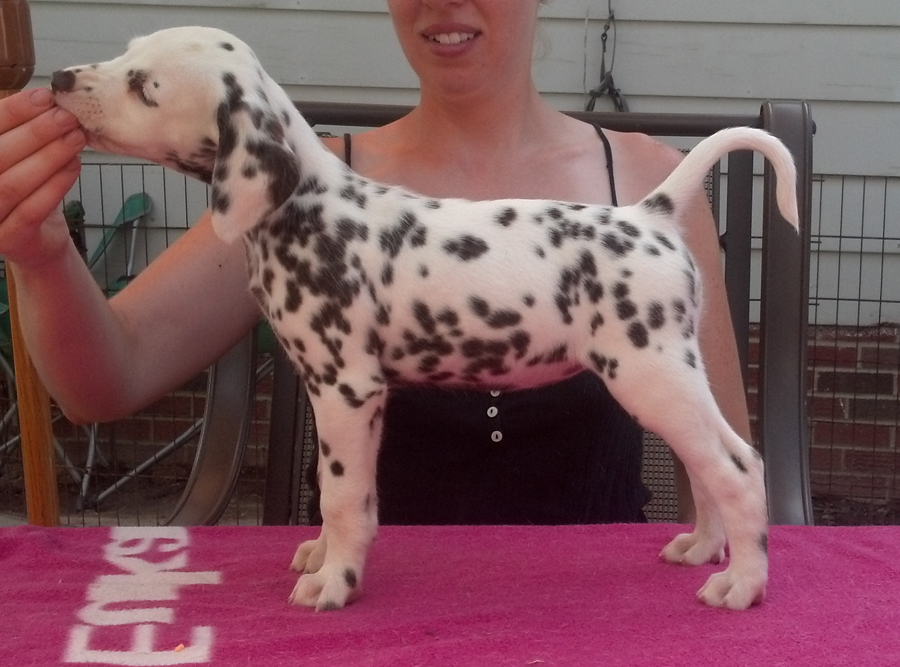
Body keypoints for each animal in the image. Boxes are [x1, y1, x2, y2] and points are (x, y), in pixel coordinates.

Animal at [52, 26, 799, 612]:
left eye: (145, 87)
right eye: (126, 53)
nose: (58, 78)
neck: (304, 207)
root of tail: (652, 213)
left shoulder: (347, 389)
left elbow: (345, 496)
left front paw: (336, 581)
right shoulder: (342, 396)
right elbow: (337, 496)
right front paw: (322, 554)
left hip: (651, 375)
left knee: (738, 466)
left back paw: (743, 583)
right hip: (669, 383)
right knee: (709, 466)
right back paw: (703, 547)